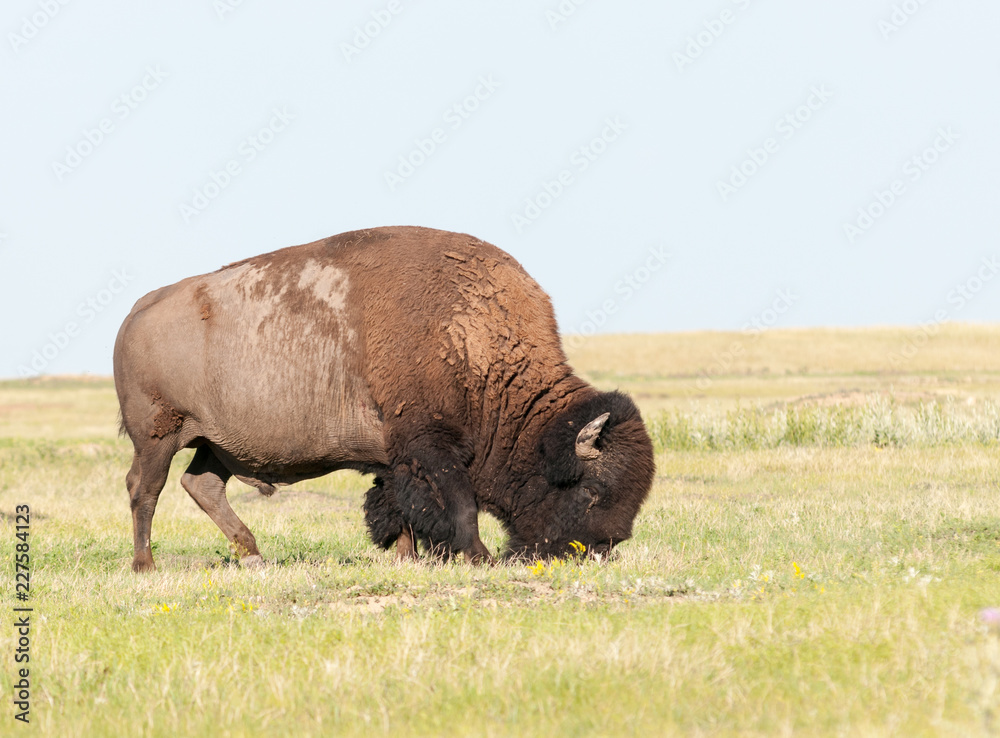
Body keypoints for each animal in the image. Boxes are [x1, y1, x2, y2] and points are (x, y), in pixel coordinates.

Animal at [113, 224, 656, 568]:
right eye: (592, 490)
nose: (597, 550)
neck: (469, 337)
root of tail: (137, 311)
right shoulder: (430, 445)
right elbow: (457, 503)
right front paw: (477, 557)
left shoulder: (397, 456)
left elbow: (399, 506)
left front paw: (408, 557)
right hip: (158, 437)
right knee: (146, 489)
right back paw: (146, 565)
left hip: (218, 444)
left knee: (201, 485)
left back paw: (254, 557)